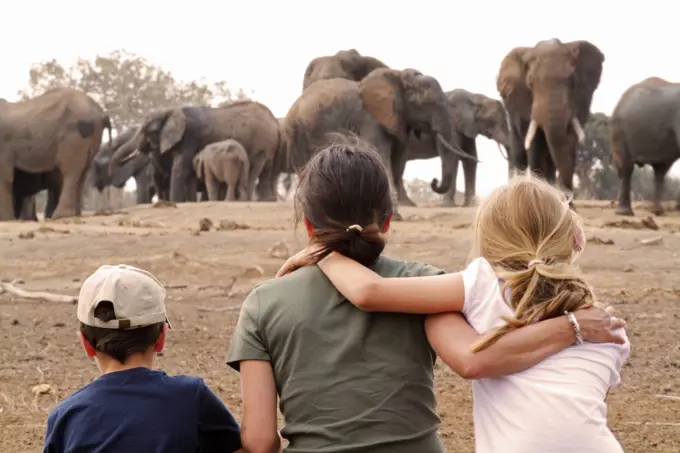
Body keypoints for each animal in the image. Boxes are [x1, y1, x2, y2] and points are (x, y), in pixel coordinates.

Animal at [0, 87, 111, 221]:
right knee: (82, 172)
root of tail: (101, 113)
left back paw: (60, 216)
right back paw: (75, 214)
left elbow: (5, 176)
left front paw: (5, 219)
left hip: (74, 134)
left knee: (69, 171)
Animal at [111, 101, 278, 204]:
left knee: (254, 170)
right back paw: (267, 200)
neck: (171, 110)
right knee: (266, 172)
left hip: (261, 144)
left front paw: (175, 203)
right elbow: (189, 173)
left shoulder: (189, 137)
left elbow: (180, 170)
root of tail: (273, 119)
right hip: (268, 147)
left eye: (150, 130)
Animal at [284, 67, 480, 221]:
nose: (434, 181)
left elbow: (397, 163)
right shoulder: (371, 119)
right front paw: (393, 218)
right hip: (298, 134)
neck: (399, 77)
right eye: (428, 103)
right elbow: (381, 156)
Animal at [496, 36, 604, 196]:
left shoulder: (583, 98)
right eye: (530, 83)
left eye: (571, 80)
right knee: (520, 155)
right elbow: (535, 145)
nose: (568, 198)